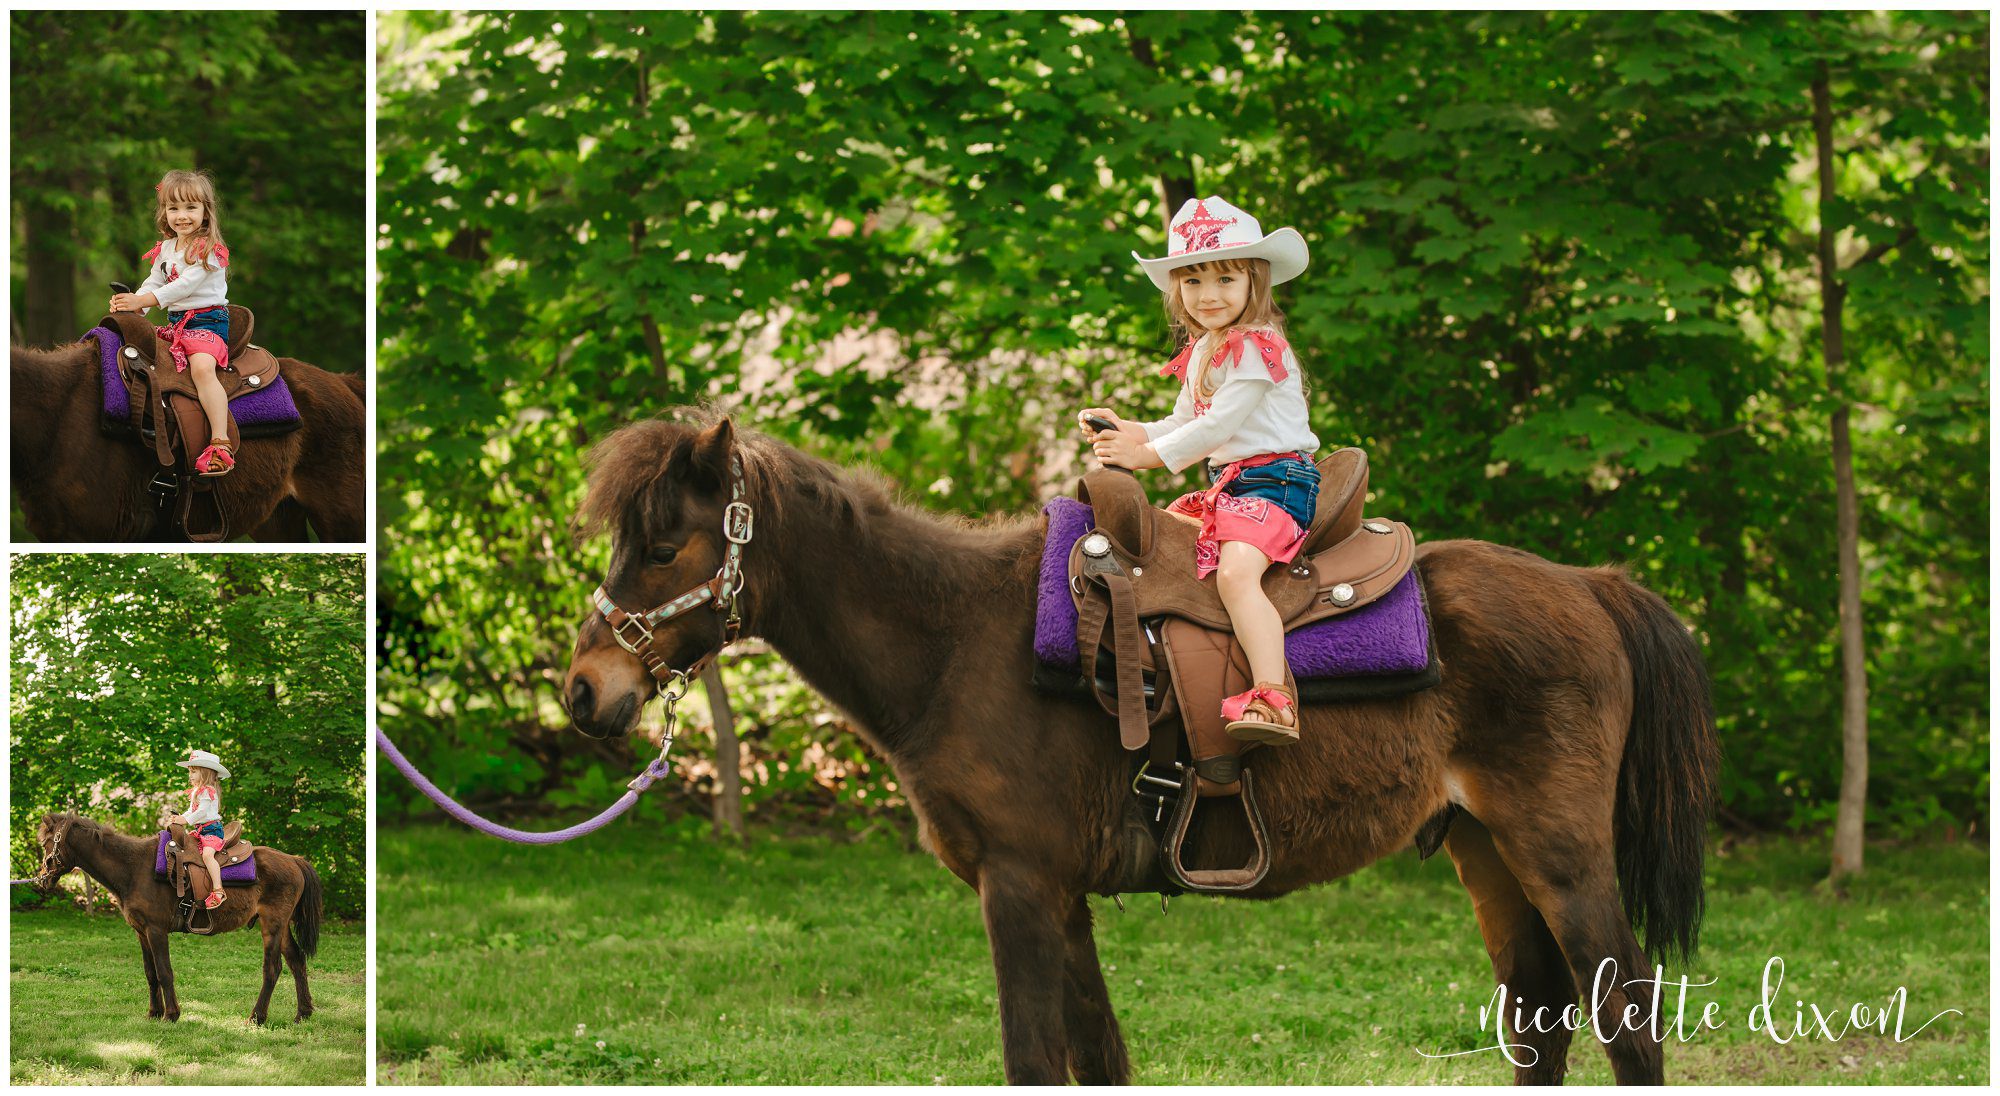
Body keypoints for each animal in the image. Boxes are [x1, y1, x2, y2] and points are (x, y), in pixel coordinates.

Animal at [30, 812, 323, 1026]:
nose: (43, 879)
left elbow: (164, 972)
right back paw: (303, 1013)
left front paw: (171, 1014)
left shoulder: (156, 930)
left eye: (46, 843)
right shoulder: (141, 932)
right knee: (297, 962)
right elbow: (150, 974)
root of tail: (295, 860)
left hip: (272, 924)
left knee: (272, 969)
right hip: (280, 926)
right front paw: (154, 1013)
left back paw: (257, 1017)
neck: (133, 868)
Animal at [559, 413, 1719, 1085]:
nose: (584, 690)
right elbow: (1099, 1060)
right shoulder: (1060, 896)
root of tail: (1590, 585)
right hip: (1487, 848)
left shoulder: (1020, 888)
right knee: (1541, 1018)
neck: (953, 642)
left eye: (662, 544)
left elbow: (1035, 1062)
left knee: (1624, 1022)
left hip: (1561, 853)